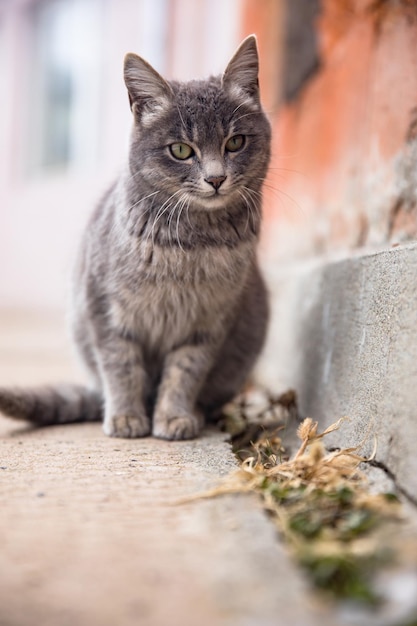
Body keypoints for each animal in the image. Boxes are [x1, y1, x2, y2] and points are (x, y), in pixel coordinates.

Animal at [0, 34, 272, 438]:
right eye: (181, 150)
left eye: (236, 142)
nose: (216, 178)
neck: (193, 242)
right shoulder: (105, 308)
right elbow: (121, 366)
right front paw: (127, 417)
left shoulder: (209, 321)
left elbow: (185, 371)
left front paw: (173, 416)